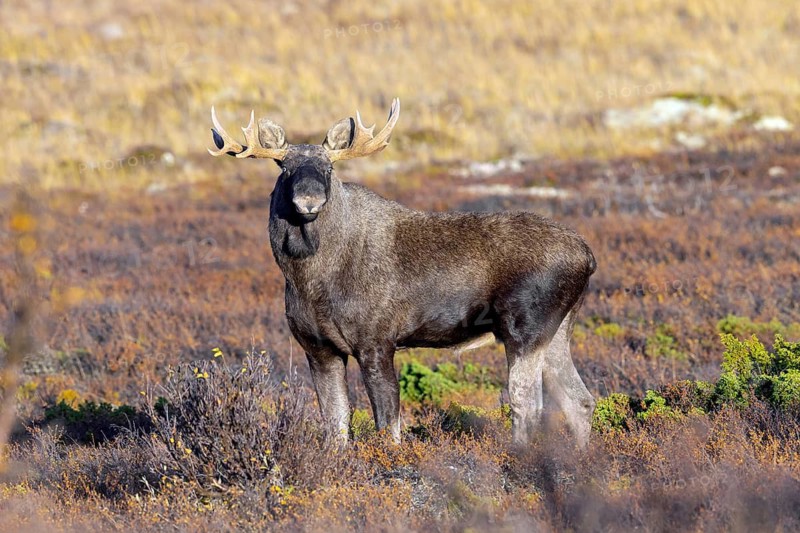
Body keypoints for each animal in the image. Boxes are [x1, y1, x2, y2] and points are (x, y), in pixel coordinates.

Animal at [207, 98, 597, 446]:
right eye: (284, 168)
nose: (309, 200)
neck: (306, 279)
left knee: (527, 404)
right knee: (580, 400)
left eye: (329, 170)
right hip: (556, 331)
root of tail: (588, 257)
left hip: (525, 328)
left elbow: (388, 426)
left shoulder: (376, 341)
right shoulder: (318, 348)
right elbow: (336, 426)